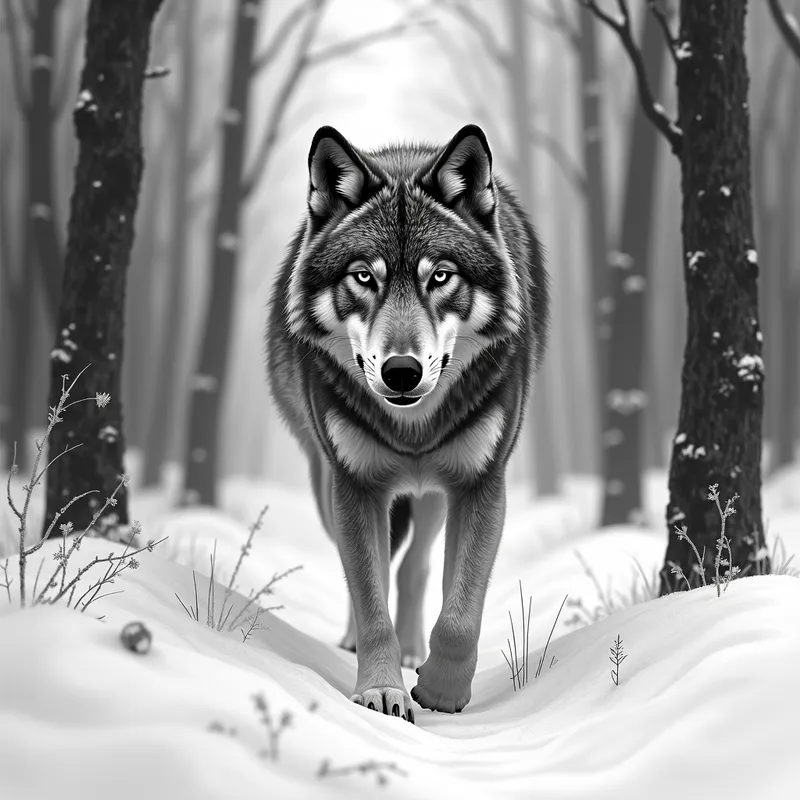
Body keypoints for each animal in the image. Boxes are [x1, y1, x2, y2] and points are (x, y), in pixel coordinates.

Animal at [267, 124, 548, 723]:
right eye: (363, 277)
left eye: (440, 277)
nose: (401, 371)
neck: (411, 427)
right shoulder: (355, 487)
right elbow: (371, 600)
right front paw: (381, 690)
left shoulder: (481, 484)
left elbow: (461, 614)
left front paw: (440, 691)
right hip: (327, 487)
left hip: (435, 497)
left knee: (415, 568)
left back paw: (417, 650)